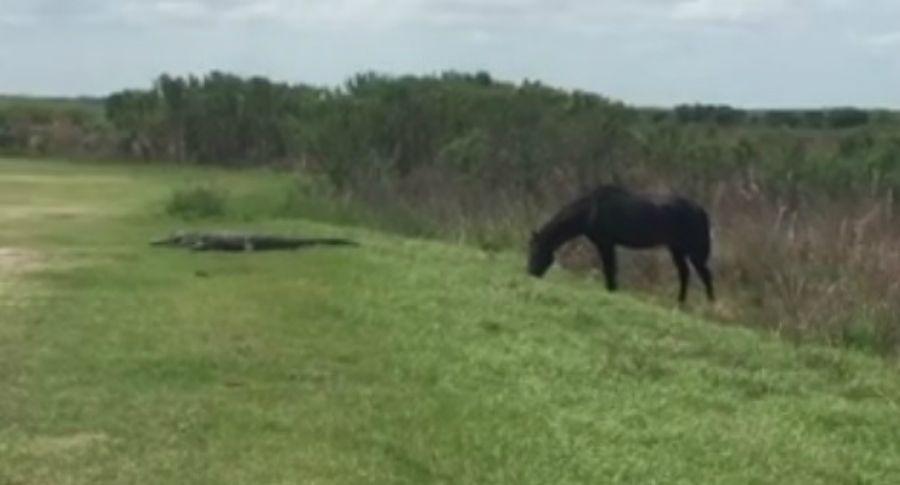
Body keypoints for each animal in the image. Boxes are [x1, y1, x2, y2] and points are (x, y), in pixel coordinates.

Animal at [527, 185, 714, 303]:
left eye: (535, 251)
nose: (530, 273)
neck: (591, 210)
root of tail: (700, 211)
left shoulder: (606, 243)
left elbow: (610, 269)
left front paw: (611, 291)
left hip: (694, 252)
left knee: (705, 275)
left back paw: (710, 304)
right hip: (676, 249)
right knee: (684, 273)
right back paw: (680, 303)